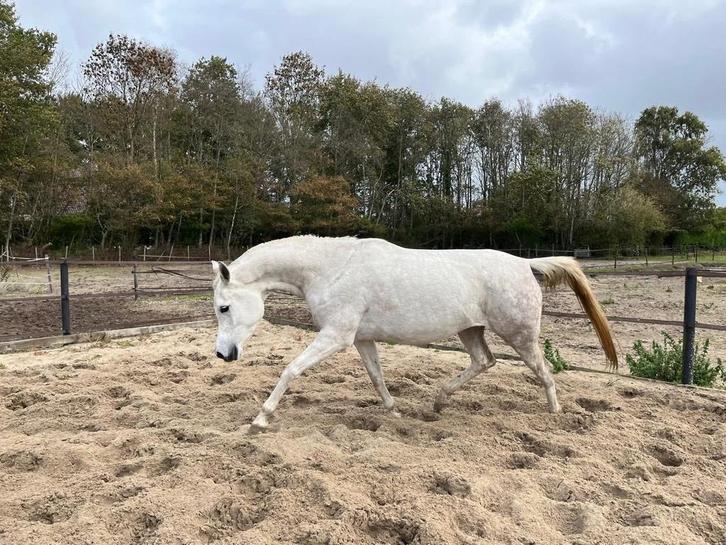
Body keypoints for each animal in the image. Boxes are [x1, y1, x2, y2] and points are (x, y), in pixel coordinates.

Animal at [211, 236, 617, 432]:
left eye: (223, 308)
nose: (223, 355)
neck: (332, 268)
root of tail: (524, 263)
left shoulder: (336, 335)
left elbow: (290, 370)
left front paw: (261, 419)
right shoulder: (361, 339)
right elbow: (377, 377)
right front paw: (394, 413)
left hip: (519, 334)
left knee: (543, 370)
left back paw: (554, 413)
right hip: (471, 331)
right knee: (483, 361)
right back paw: (438, 402)